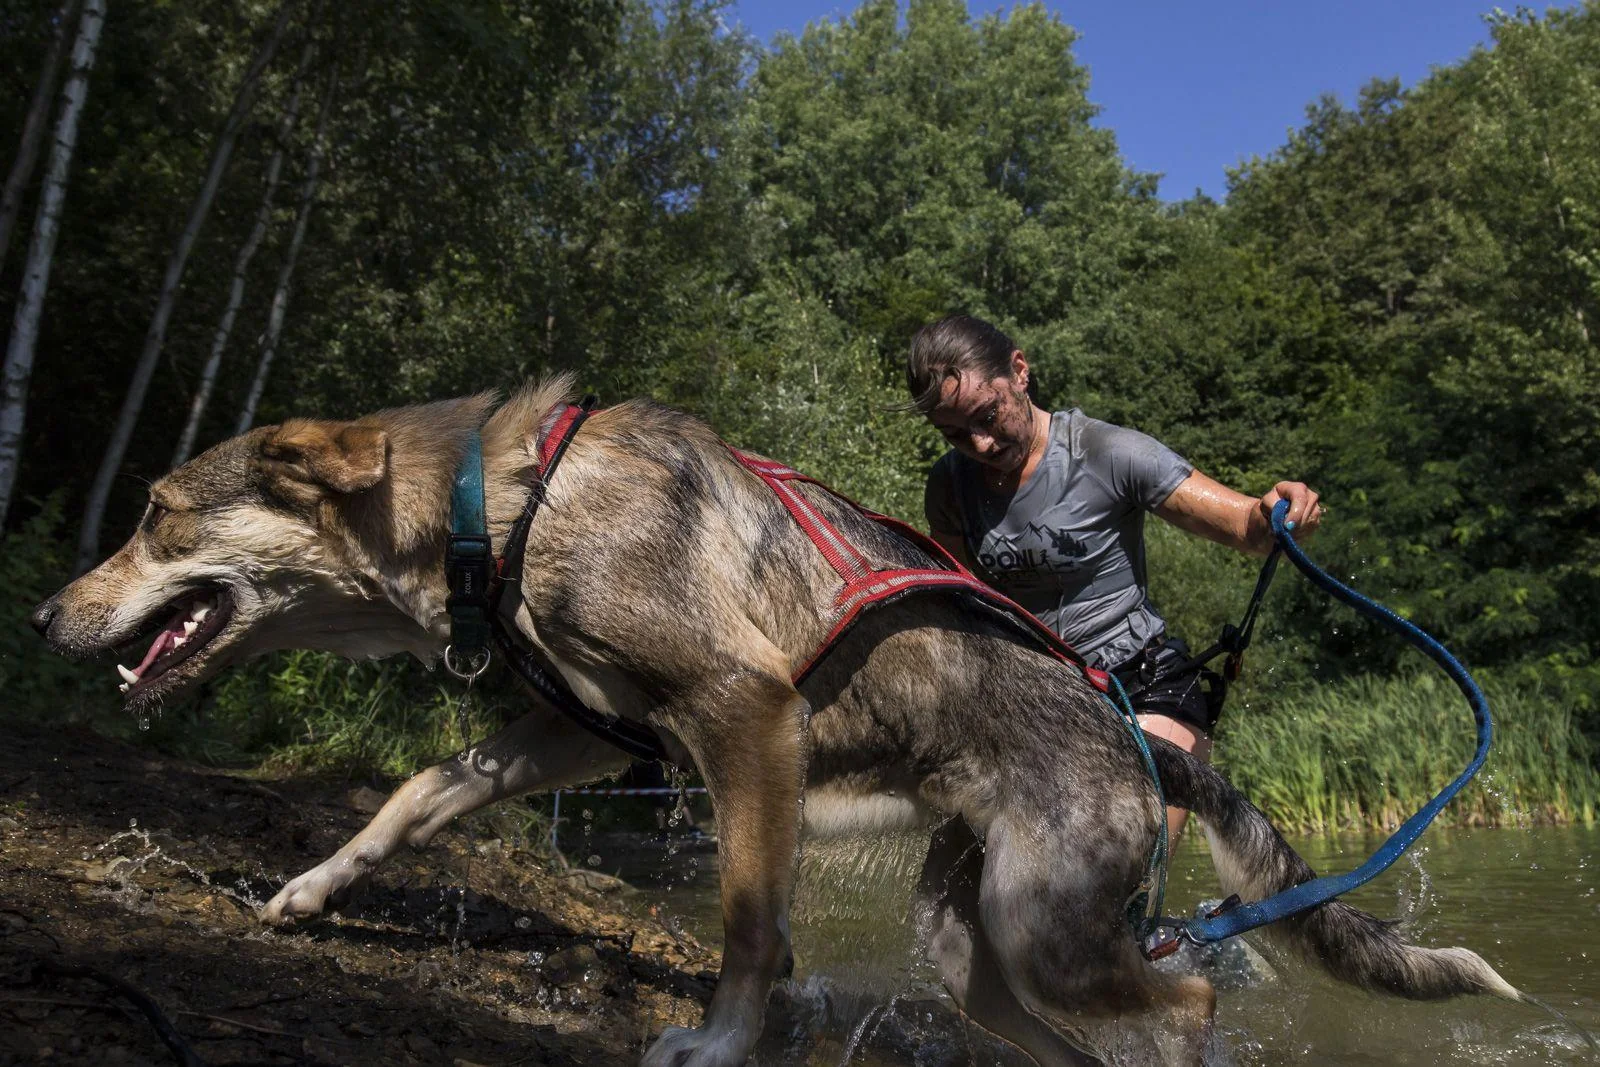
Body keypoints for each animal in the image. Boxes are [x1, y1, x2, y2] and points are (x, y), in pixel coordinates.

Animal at [31, 377, 1516, 1067]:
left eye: (155, 515)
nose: (43, 614)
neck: (506, 499)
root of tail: (1146, 738)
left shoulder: (743, 715)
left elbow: (749, 919)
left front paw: (714, 1040)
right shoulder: (580, 731)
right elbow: (410, 795)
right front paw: (303, 888)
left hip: (1046, 921)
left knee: (1193, 985)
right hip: (976, 938)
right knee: (1039, 1023)